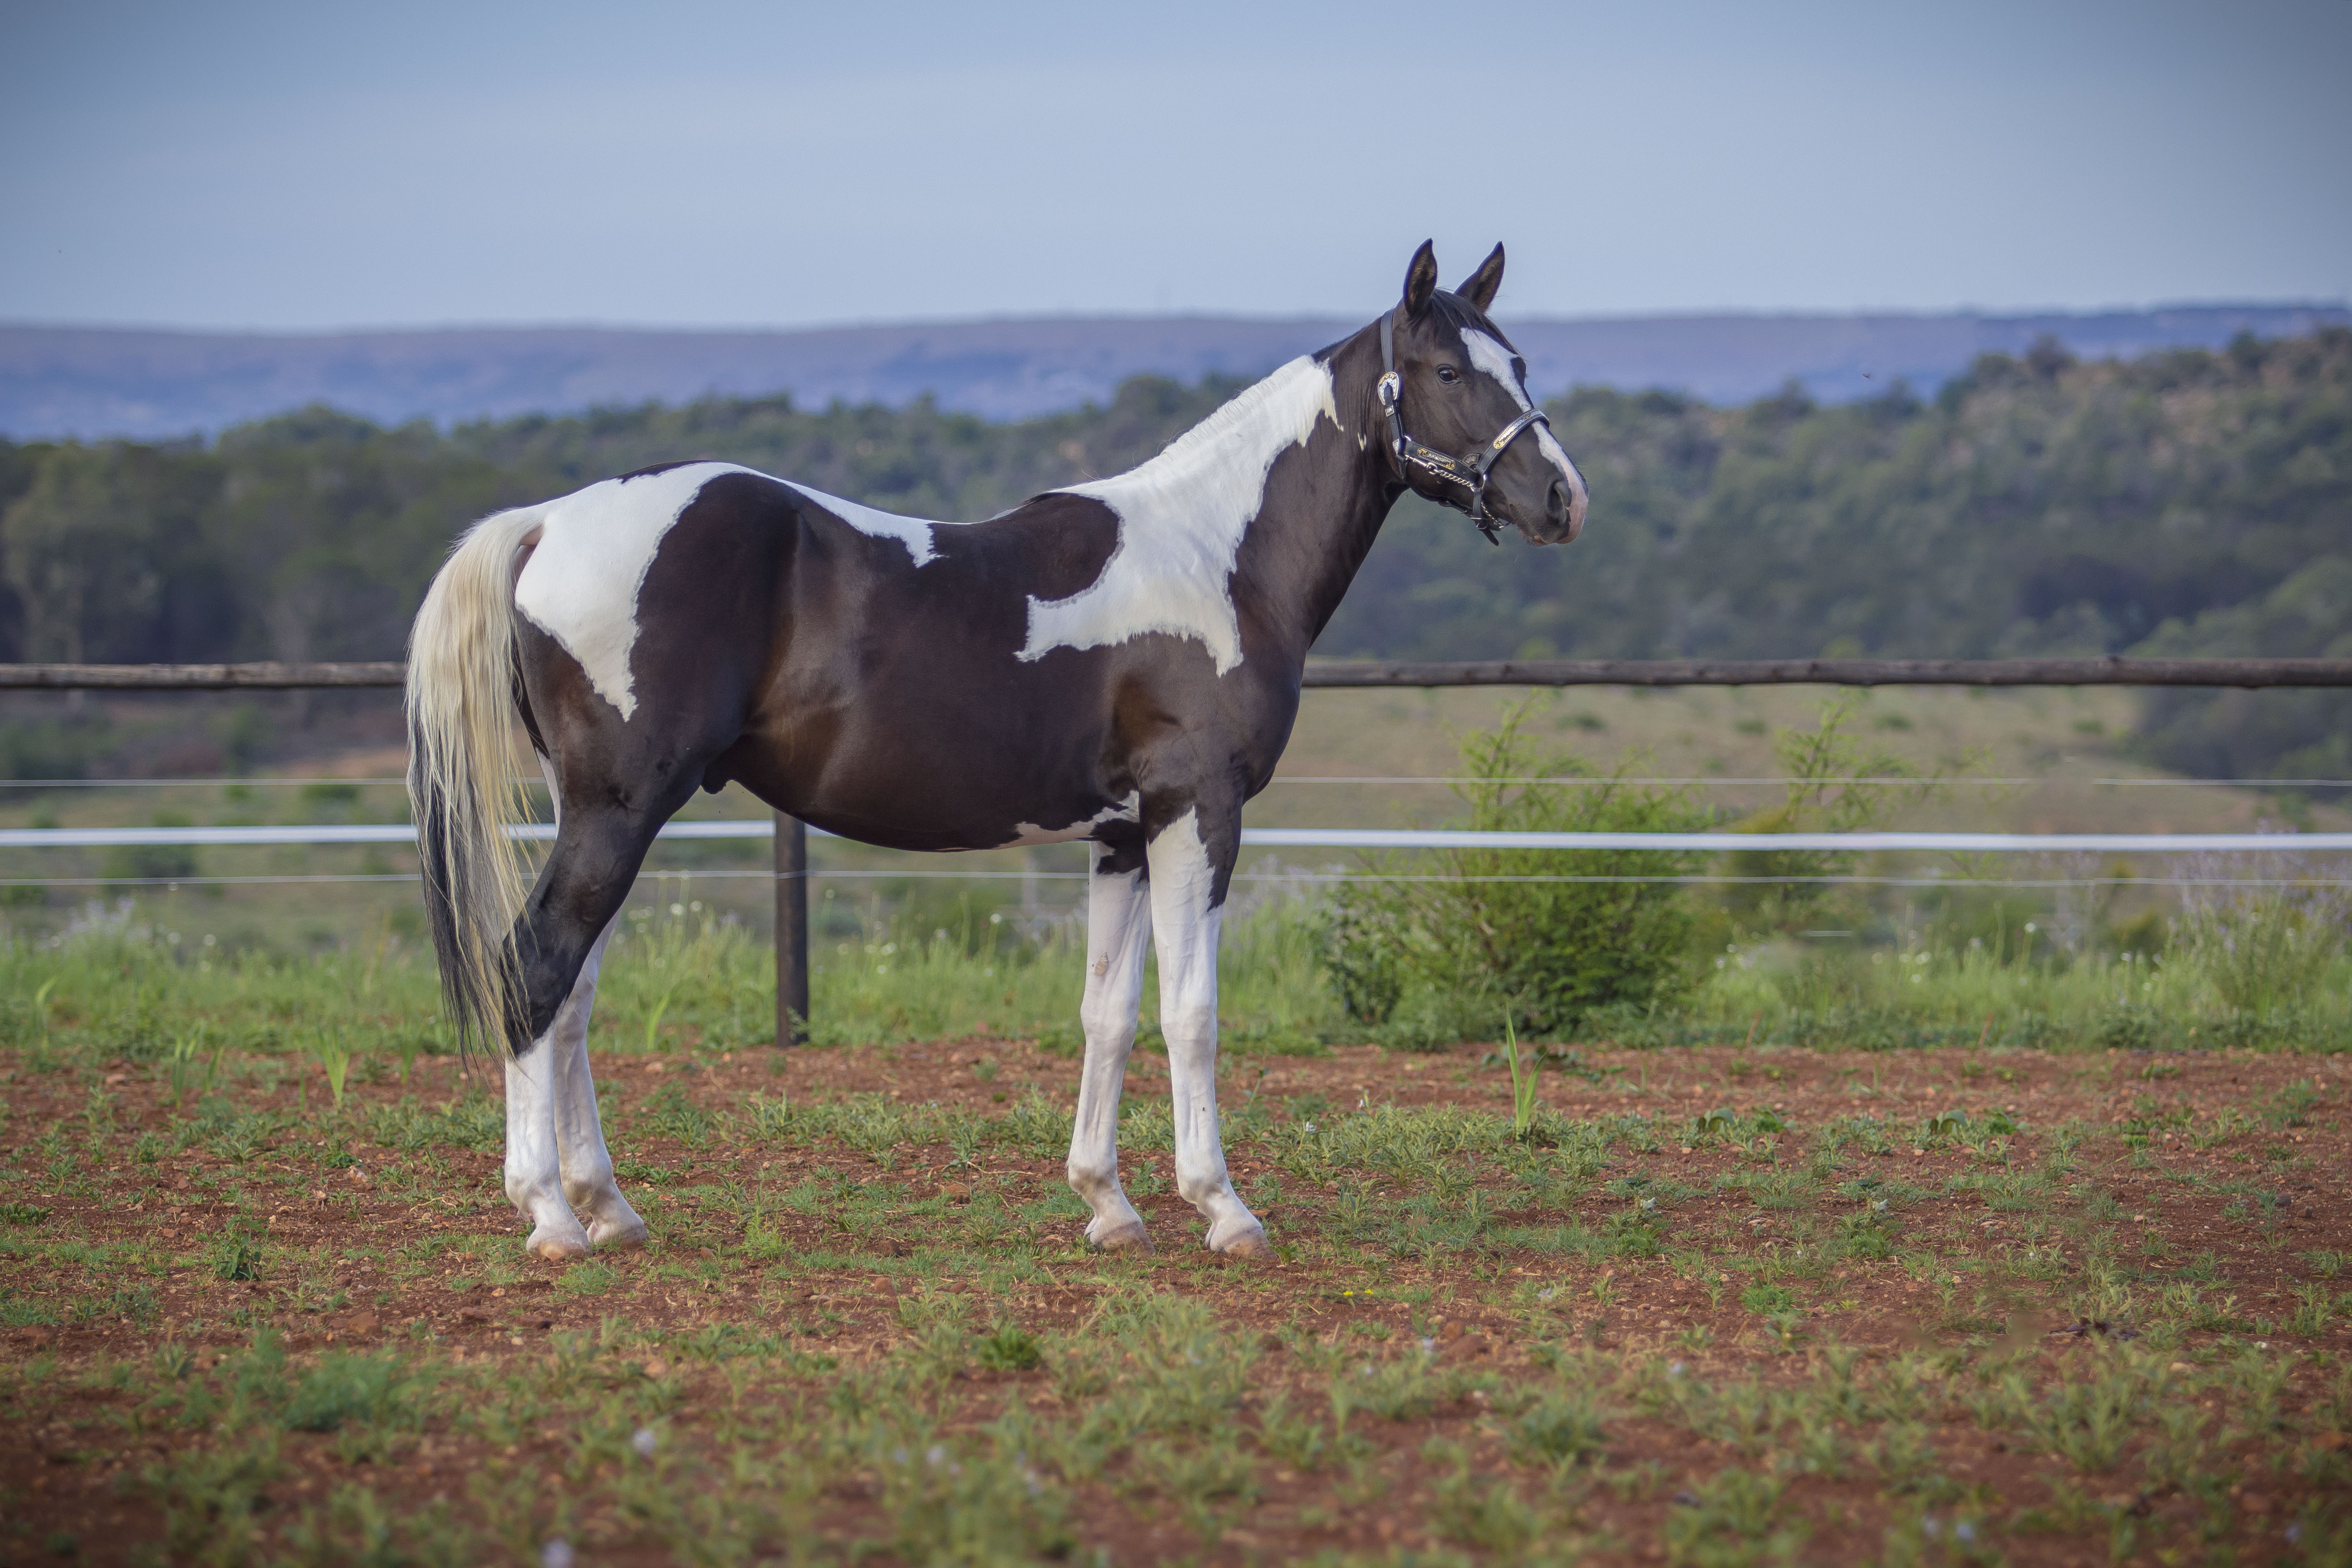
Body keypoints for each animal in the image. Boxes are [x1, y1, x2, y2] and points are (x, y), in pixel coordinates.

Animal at [404, 242, 1590, 1260]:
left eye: (1520, 364)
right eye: (1446, 369)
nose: (1560, 499)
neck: (1218, 555)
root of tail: (550, 523)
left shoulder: (1121, 835)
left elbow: (1109, 1014)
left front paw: (1109, 1204)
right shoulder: (1198, 811)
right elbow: (1192, 1013)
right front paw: (1224, 1208)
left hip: (611, 812)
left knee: (571, 998)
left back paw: (608, 1204)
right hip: (617, 811)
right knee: (536, 970)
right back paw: (552, 1216)